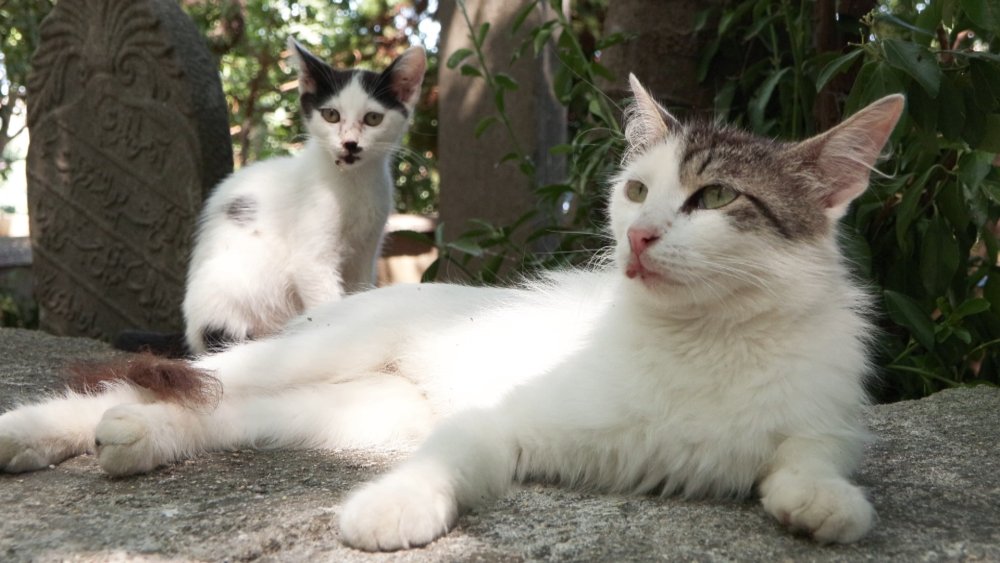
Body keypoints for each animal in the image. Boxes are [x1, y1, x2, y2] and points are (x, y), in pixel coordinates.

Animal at [0, 78, 908, 552]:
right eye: (637, 189)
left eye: (716, 198)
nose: (638, 234)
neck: (705, 334)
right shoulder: (494, 417)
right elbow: (455, 457)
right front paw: (394, 507)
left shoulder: (829, 416)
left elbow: (813, 460)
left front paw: (823, 503)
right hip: (304, 356)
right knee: (181, 377)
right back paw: (34, 431)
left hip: (356, 412)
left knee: (219, 412)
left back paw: (135, 438)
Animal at [182, 39, 424, 354]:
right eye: (331, 115)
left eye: (373, 118)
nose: (350, 144)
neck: (354, 184)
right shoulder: (311, 261)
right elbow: (325, 300)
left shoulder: (366, 251)